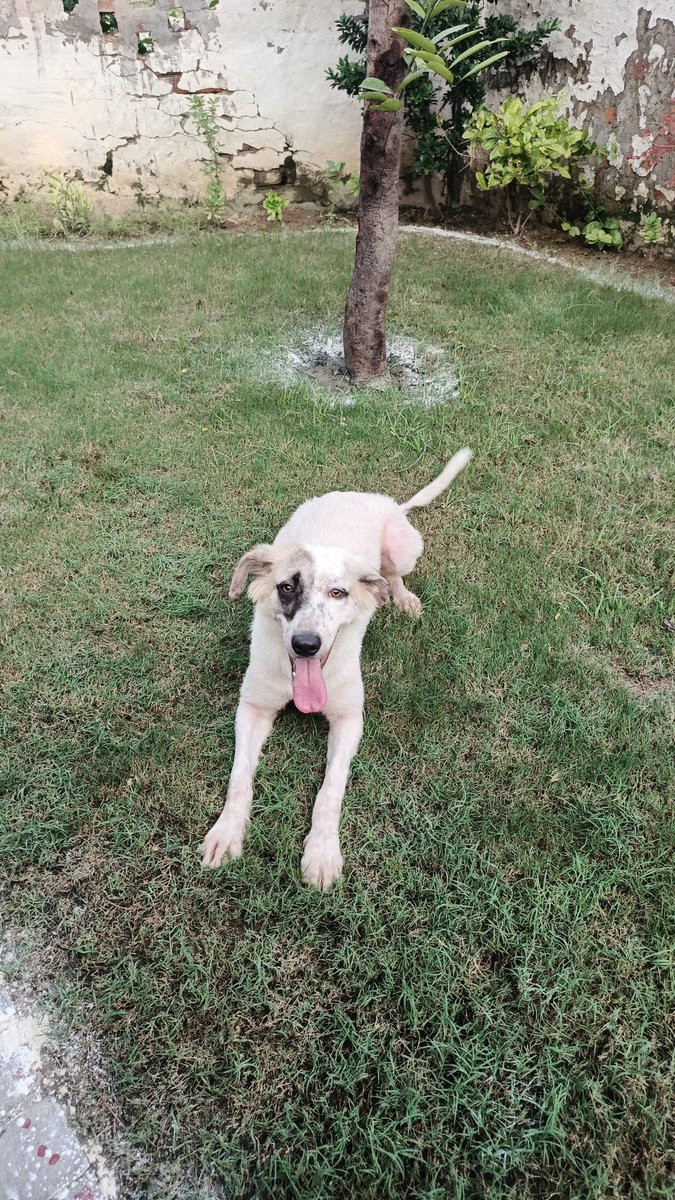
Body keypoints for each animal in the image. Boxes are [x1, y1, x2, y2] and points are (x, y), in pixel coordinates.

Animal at [201, 448, 473, 889]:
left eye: (338, 592)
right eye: (286, 587)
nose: (306, 645)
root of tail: (380, 499)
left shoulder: (349, 720)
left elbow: (330, 791)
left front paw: (323, 852)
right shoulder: (252, 709)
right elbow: (239, 778)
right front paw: (227, 832)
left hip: (403, 548)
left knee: (392, 576)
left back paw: (402, 598)